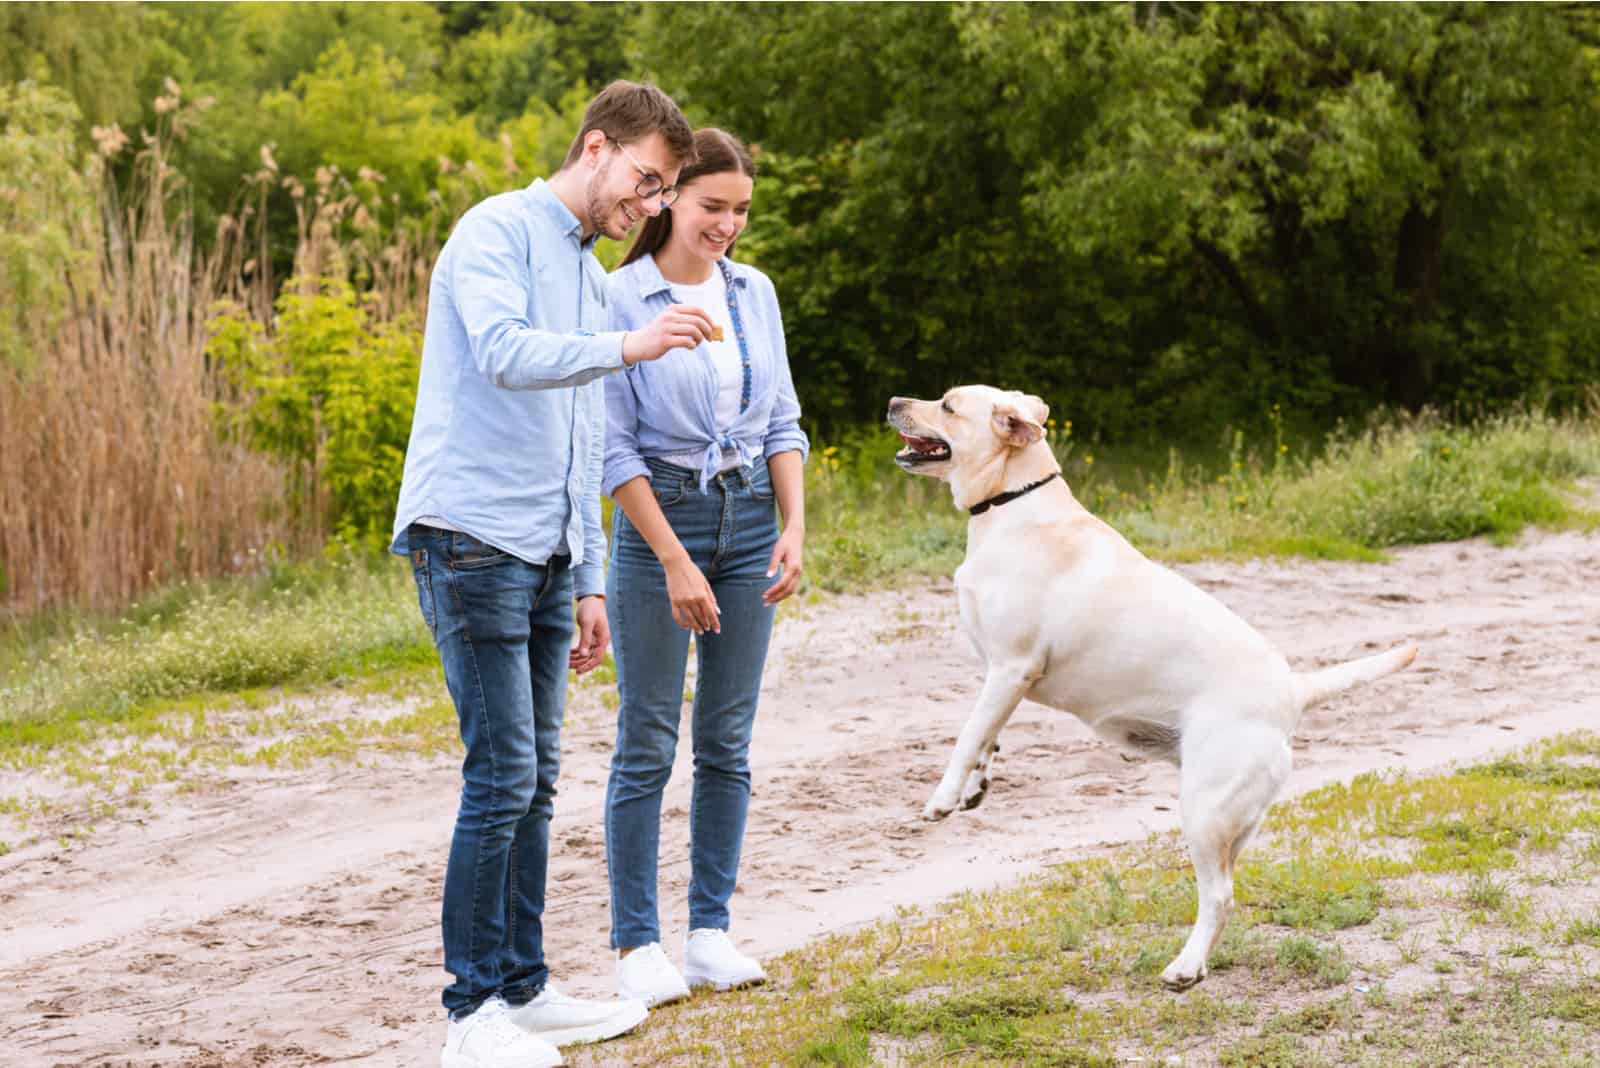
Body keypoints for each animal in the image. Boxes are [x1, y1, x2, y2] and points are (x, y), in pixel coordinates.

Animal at [889, 385, 1414, 991]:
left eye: (948, 406)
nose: (894, 399)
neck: (1012, 504)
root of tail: (1293, 692)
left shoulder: (1011, 668)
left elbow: (966, 735)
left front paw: (943, 798)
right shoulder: (998, 674)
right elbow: (987, 737)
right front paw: (975, 788)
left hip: (1204, 811)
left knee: (1220, 895)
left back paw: (1183, 968)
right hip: (1234, 821)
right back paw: (1197, 965)